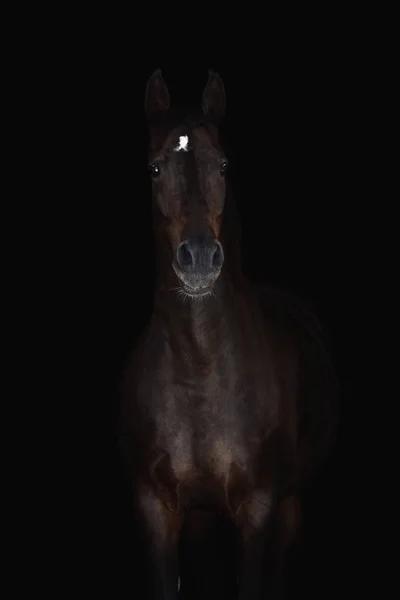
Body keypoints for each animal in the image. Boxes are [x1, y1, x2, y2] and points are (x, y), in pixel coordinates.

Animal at [117, 68, 340, 596]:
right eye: (154, 169)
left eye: (222, 166)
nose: (199, 258)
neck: (199, 371)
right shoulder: (158, 510)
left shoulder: (258, 510)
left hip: (290, 506)